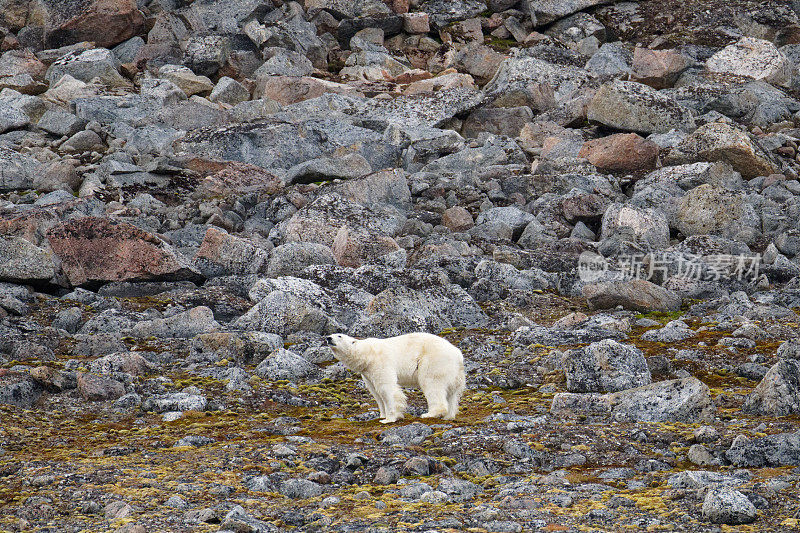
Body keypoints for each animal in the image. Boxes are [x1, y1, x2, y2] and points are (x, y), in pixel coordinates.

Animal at [324, 332, 462, 424]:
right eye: (332, 334)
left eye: (339, 336)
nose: (328, 338)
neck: (368, 354)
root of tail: (458, 354)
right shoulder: (367, 373)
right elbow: (376, 393)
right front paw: (381, 415)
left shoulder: (380, 363)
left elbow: (386, 389)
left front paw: (389, 419)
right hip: (454, 373)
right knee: (452, 393)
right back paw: (449, 416)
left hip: (433, 361)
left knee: (432, 384)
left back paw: (429, 414)